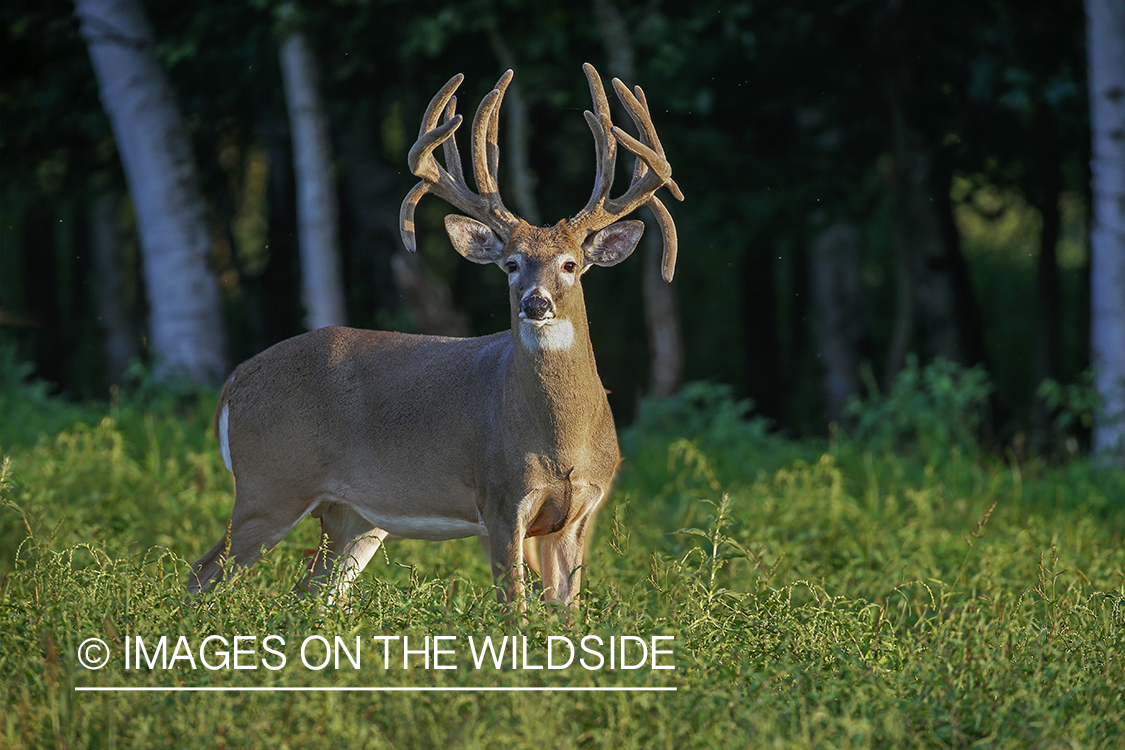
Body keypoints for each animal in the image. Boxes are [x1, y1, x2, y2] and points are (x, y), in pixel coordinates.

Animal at [187, 64, 679, 611]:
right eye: (512, 264)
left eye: (571, 264)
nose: (535, 303)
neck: (561, 444)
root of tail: (236, 379)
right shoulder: (500, 500)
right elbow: (516, 610)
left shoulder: (576, 514)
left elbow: (565, 615)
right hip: (269, 483)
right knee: (201, 574)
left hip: (352, 516)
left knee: (308, 593)